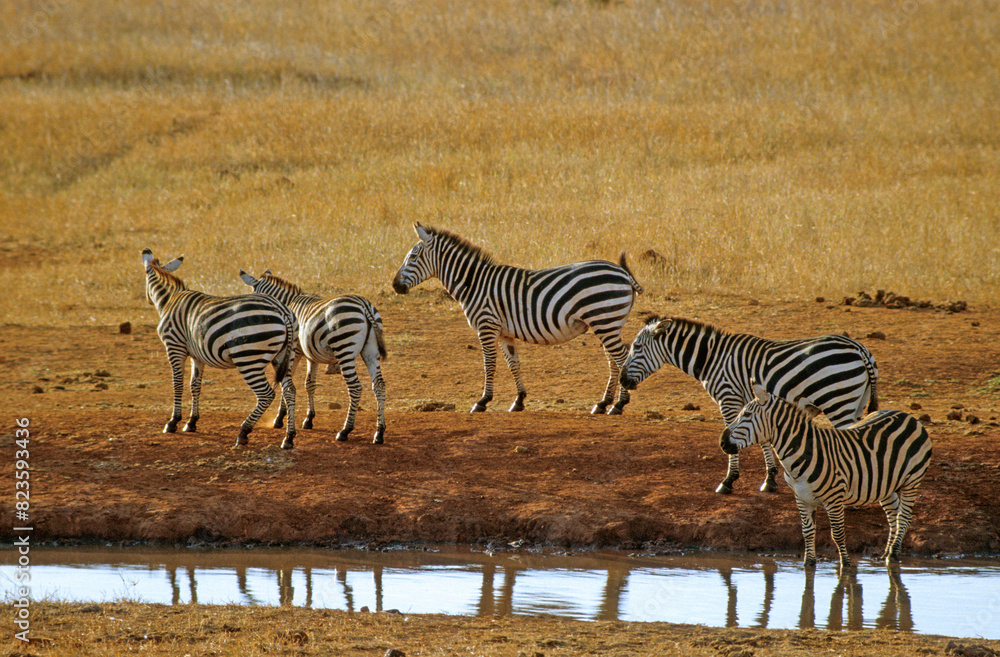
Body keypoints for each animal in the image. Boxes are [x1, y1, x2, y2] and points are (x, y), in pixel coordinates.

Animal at [141, 249, 297, 449]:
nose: (147, 300)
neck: (170, 300)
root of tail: (282, 310)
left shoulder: (174, 347)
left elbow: (178, 384)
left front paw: (173, 422)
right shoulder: (197, 355)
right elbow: (195, 385)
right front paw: (191, 422)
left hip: (249, 358)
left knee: (266, 394)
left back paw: (243, 432)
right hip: (284, 356)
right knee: (290, 391)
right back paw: (289, 437)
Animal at [239, 269, 388, 444]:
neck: (288, 303)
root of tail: (364, 305)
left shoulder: (294, 352)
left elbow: (287, 385)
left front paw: (280, 418)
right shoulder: (312, 355)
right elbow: (309, 384)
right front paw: (309, 419)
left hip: (345, 348)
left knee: (355, 388)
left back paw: (345, 430)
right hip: (371, 350)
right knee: (379, 385)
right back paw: (379, 433)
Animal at [391, 222, 643, 414]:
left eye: (412, 256)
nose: (394, 286)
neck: (474, 283)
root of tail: (624, 273)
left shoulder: (487, 325)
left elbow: (489, 364)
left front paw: (482, 401)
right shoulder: (504, 332)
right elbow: (513, 363)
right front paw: (519, 400)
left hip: (605, 320)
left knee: (621, 358)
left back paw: (619, 404)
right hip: (606, 324)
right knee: (613, 360)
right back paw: (603, 404)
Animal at [619, 316, 879, 494]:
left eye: (637, 347)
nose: (622, 380)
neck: (712, 359)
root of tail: (860, 348)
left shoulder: (728, 398)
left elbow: (733, 439)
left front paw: (728, 481)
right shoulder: (754, 403)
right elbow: (762, 439)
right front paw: (770, 479)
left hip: (838, 401)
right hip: (856, 404)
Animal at [720, 383, 932, 568]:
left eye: (746, 414)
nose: (722, 443)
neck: (804, 453)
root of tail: (907, 416)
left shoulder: (834, 499)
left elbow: (837, 534)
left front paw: (845, 565)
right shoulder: (801, 497)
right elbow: (807, 531)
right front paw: (809, 563)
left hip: (912, 480)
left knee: (904, 516)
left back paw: (893, 554)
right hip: (884, 484)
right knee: (893, 514)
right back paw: (887, 552)